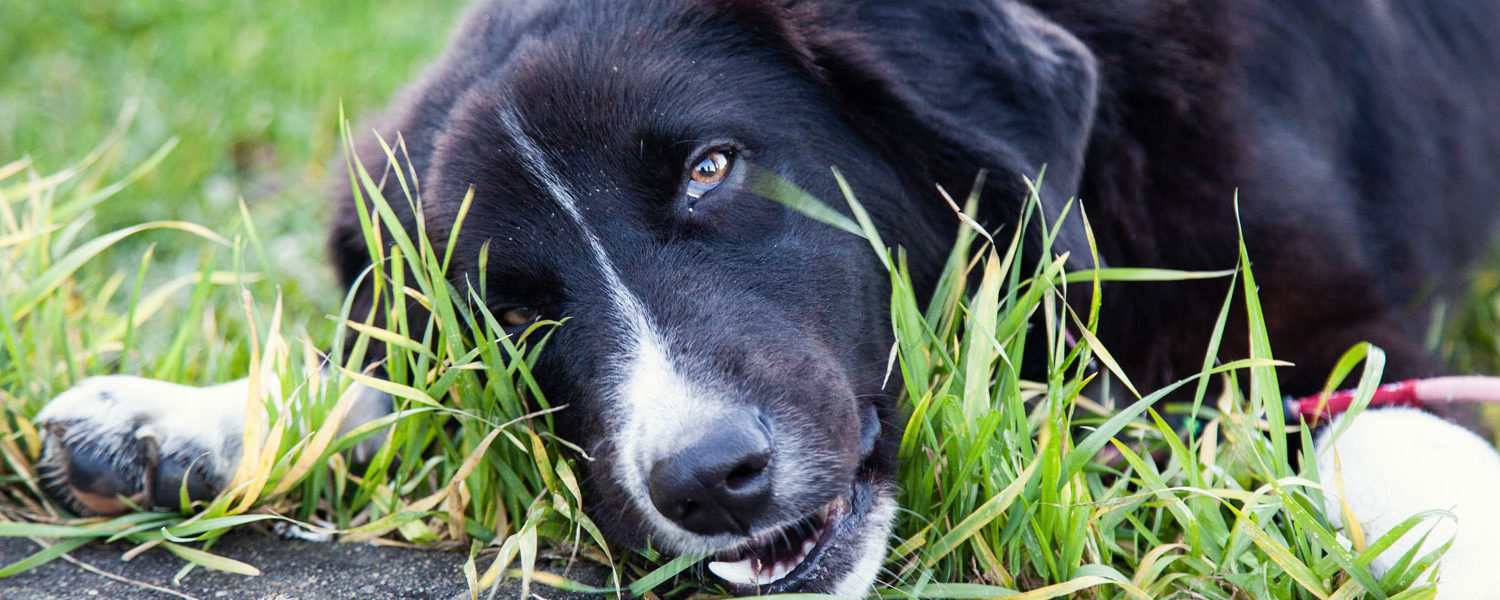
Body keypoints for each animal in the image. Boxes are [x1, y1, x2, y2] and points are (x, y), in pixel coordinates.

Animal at [35, 0, 1500, 594]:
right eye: (513, 304)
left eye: (713, 167)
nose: (708, 481)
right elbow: (411, 385)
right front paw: (188, 416)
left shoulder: (1325, 314)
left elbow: (1379, 424)